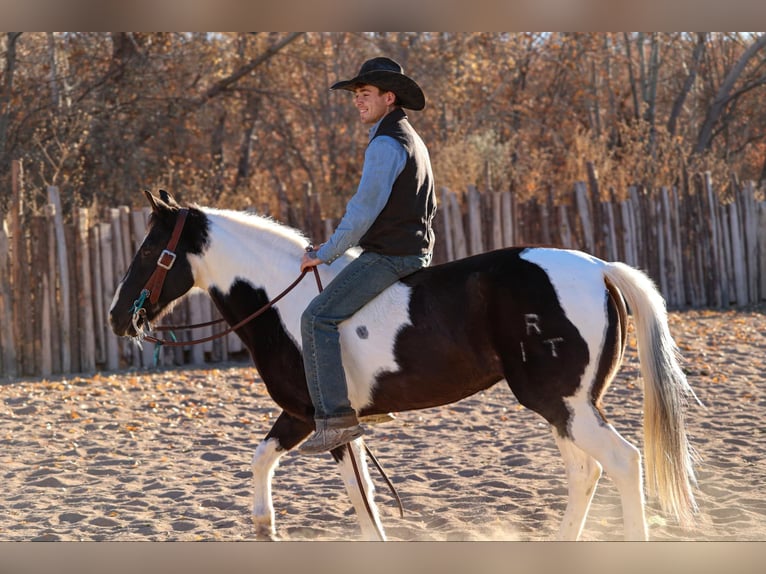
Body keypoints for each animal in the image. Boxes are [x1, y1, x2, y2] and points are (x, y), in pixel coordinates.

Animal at [109, 190, 699, 541]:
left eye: (149, 252)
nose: (117, 316)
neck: (283, 303)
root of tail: (599, 267)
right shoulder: (308, 418)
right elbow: (264, 460)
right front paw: (264, 528)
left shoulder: (322, 421)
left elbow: (359, 498)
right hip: (564, 408)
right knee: (585, 472)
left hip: (564, 404)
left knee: (620, 463)